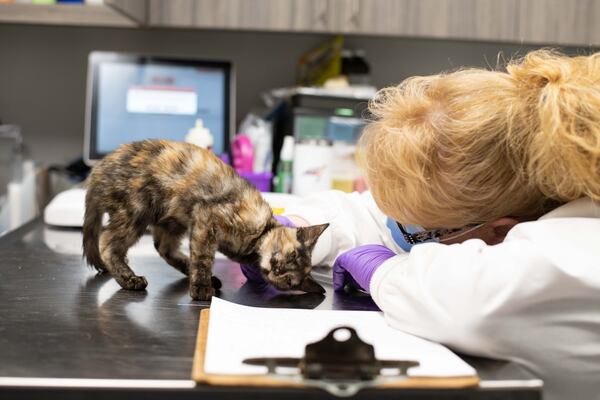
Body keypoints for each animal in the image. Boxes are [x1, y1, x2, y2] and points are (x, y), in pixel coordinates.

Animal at [82, 140, 328, 300]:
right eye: (291, 254)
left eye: (290, 281)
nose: (277, 268)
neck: (251, 247)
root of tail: (98, 169)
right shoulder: (207, 217)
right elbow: (203, 257)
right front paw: (201, 288)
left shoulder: (200, 223)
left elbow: (197, 256)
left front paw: (202, 281)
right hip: (137, 210)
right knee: (108, 243)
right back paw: (130, 279)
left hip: (171, 222)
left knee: (163, 248)